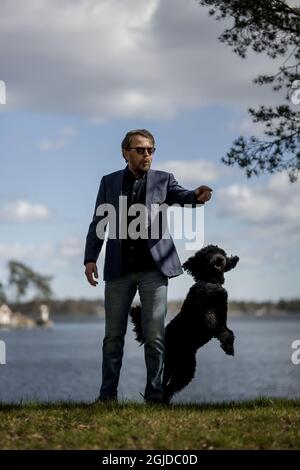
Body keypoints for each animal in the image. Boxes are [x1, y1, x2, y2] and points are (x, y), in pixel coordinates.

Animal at [129, 246, 239, 404]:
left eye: (222, 252)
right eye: (208, 253)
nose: (220, 259)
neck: (210, 283)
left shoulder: (223, 319)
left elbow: (227, 332)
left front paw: (229, 347)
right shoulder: (199, 310)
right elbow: (210, 319)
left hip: (184, 367)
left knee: (170, 384)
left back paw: (164, 401)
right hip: (175, 363)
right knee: (166, 383)